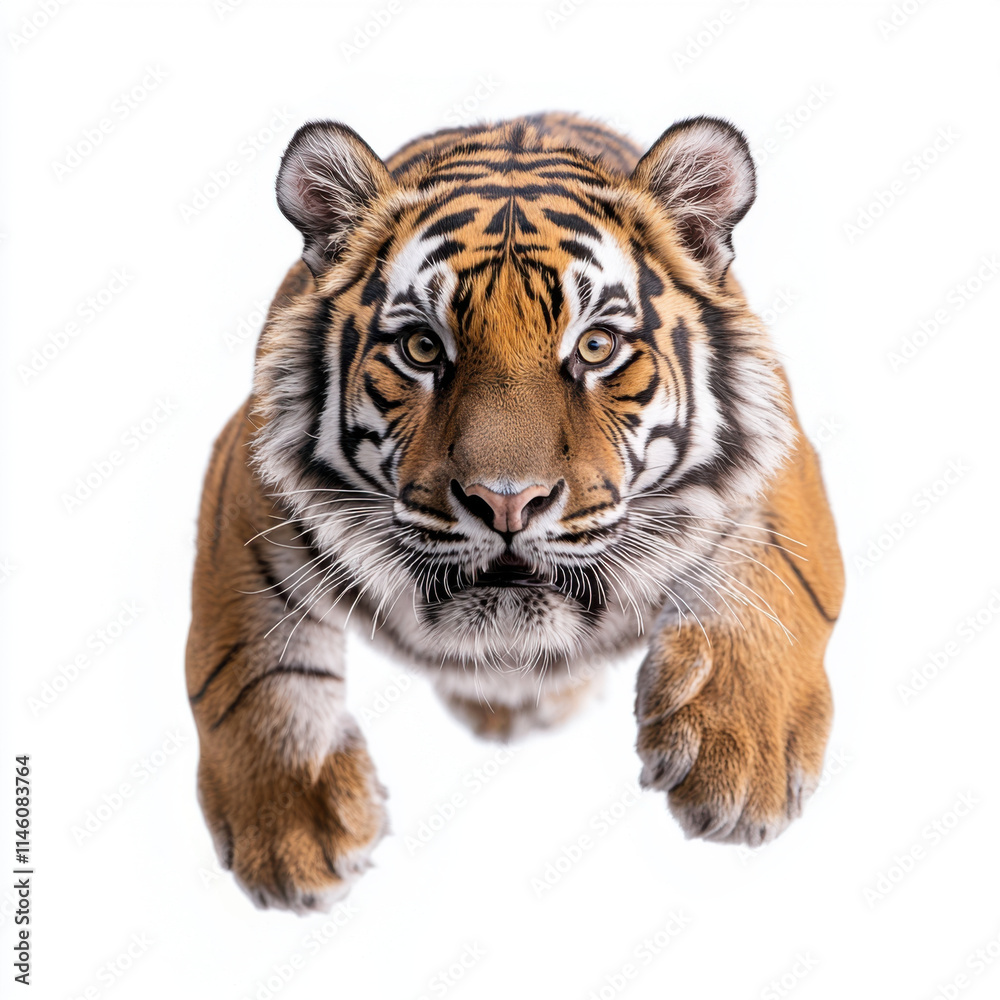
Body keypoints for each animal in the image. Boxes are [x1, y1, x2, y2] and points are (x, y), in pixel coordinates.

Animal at [185, 112, 844, 913]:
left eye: (596, 345)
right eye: (421, 347)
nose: (506, 501)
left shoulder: (777, 448)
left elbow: (773, 579)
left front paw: (742, 761)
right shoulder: (247, 487)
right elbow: (244, 660)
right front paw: (291, 827)